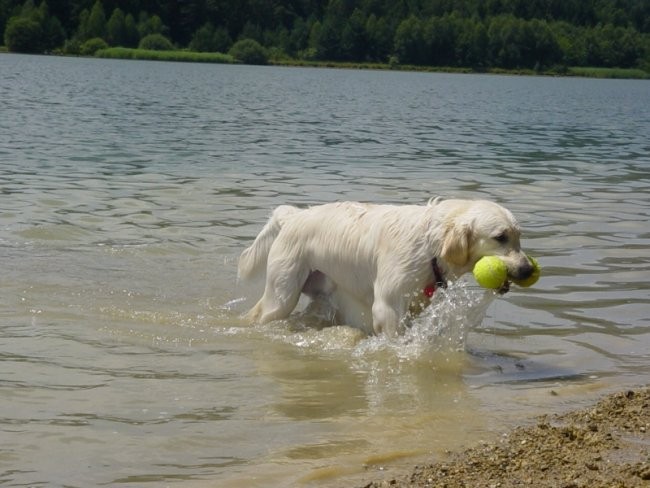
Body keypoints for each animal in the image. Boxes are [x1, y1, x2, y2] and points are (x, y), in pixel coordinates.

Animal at [238, 198, 532, 336]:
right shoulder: (388, 306)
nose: (528, 270)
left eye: (519, 237)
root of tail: (295, 214)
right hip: (283, 293)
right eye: (500, 237)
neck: (430, 243)